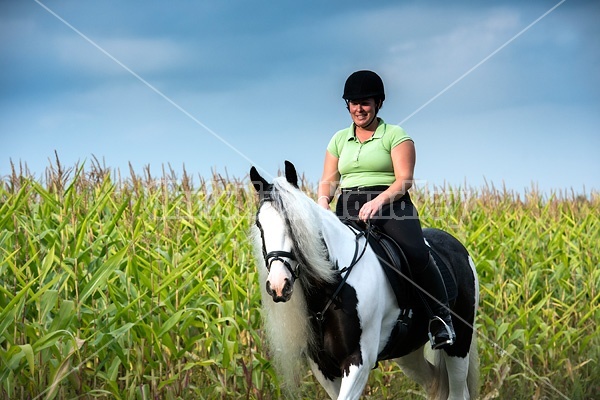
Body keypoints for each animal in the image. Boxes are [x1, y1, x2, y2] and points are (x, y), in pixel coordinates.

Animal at [248, 161, 478, 398]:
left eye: (294, 222)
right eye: (259, 224)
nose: (278, 285)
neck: (331, 286)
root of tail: (457, 246)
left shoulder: (358, 361)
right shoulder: (323, 367)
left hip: (459, 342)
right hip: (408, 351)